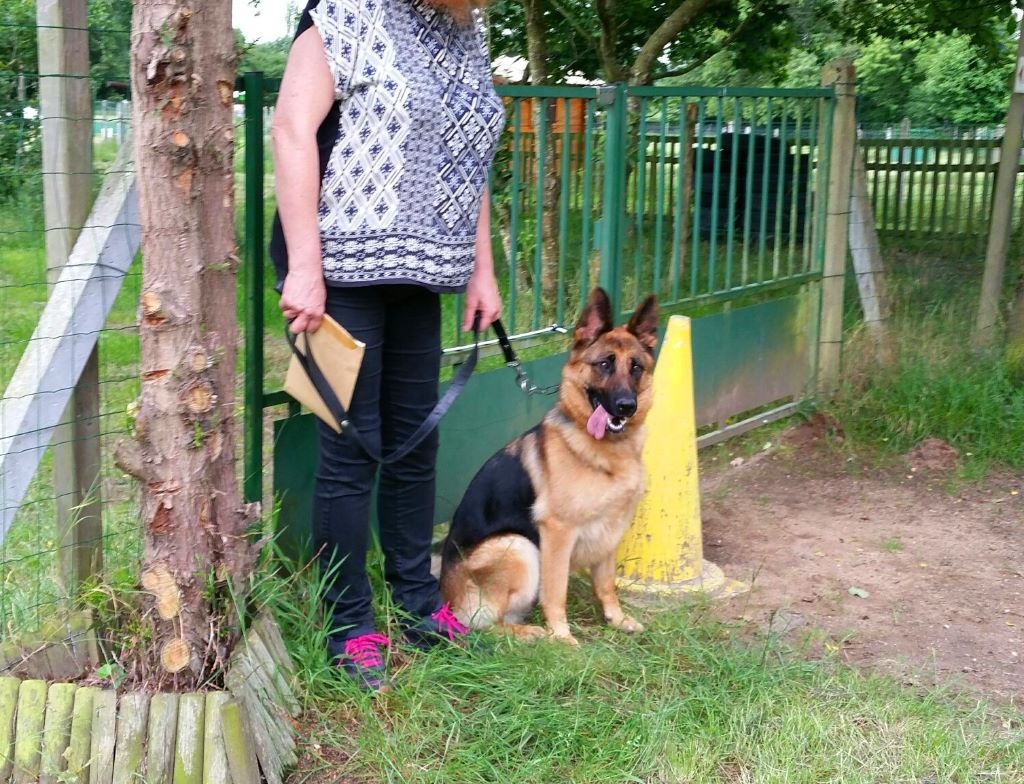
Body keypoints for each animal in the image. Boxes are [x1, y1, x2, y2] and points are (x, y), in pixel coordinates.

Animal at [440, 288, 655, 646]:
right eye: (604, 364)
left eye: (636, 367)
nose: (626, 406)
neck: (604, 450)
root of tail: (445, 600)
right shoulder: (558, 532)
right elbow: (556, 591)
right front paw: (562, 637)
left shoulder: (611, 529)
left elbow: (606, 584)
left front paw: (616, 619)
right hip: (518, 546)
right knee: (484, 626)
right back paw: (529, 632)